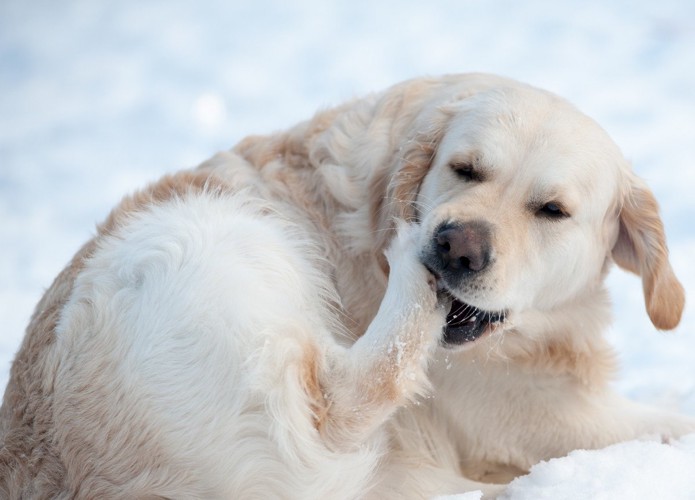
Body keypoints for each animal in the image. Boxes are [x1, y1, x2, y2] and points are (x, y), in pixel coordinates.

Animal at [1, 73, 695, 496]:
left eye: (552, 210)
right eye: (464, 168)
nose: (455, 244)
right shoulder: (541, 416)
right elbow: (674, 425)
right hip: (200, 235)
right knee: (342, 400)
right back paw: (409, 266)